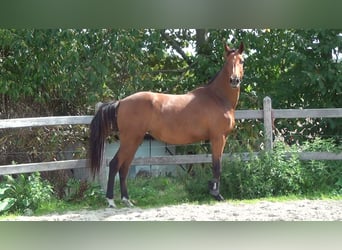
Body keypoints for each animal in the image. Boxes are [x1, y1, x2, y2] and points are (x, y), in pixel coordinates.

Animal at [88, 42, 243, 208]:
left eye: (241, 61)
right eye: (227, 62)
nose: (234, 80)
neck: (217, 98)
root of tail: (121, 102)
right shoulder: (218, 138)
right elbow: (217, 165)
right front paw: (216, 195)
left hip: (134, 141)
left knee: (124, 168)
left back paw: (126, 200)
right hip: (130, 140)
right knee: (115, 164)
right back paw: (111, 200)